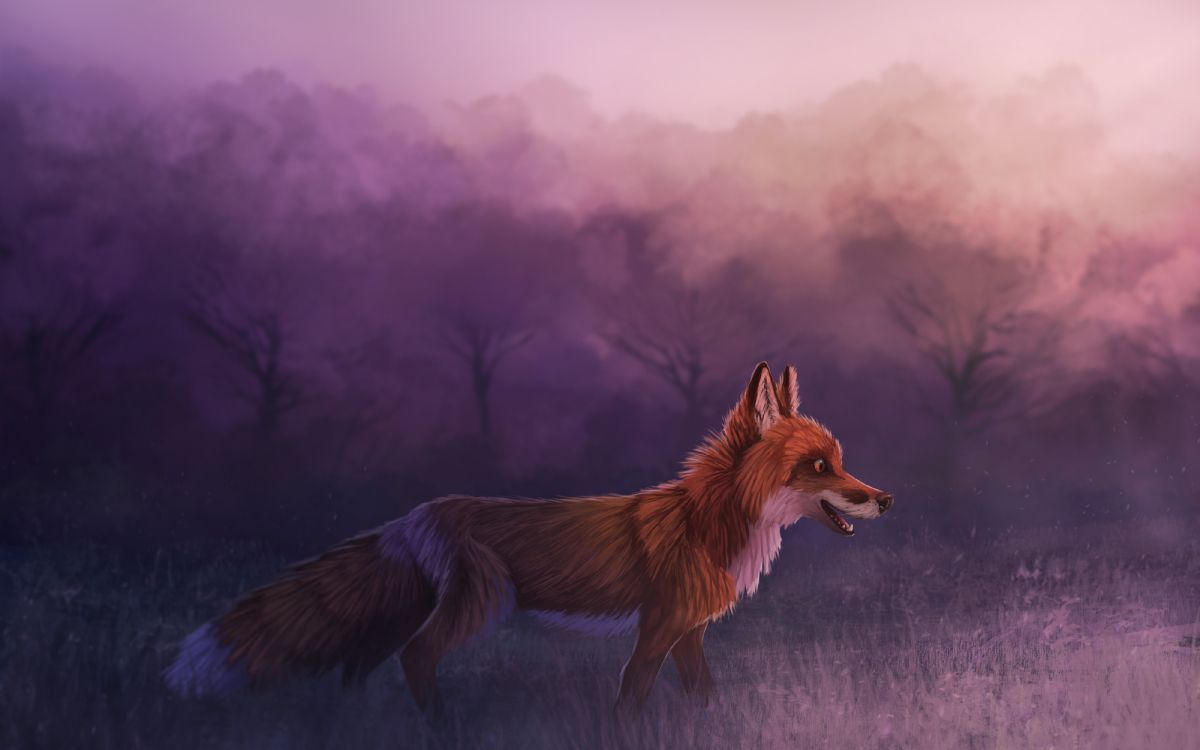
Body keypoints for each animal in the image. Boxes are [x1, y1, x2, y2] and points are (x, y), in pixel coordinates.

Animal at [166, 362, 893, 711]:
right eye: (819, 467)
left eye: (839, 460)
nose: (884, 498)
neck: (709, 520)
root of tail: (415, 515)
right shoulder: (657, 627)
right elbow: (629, 701)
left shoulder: (690, 633)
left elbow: (704, 698)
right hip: (479, 602)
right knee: (414, 658)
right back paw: (444, 728)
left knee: (361, 665)